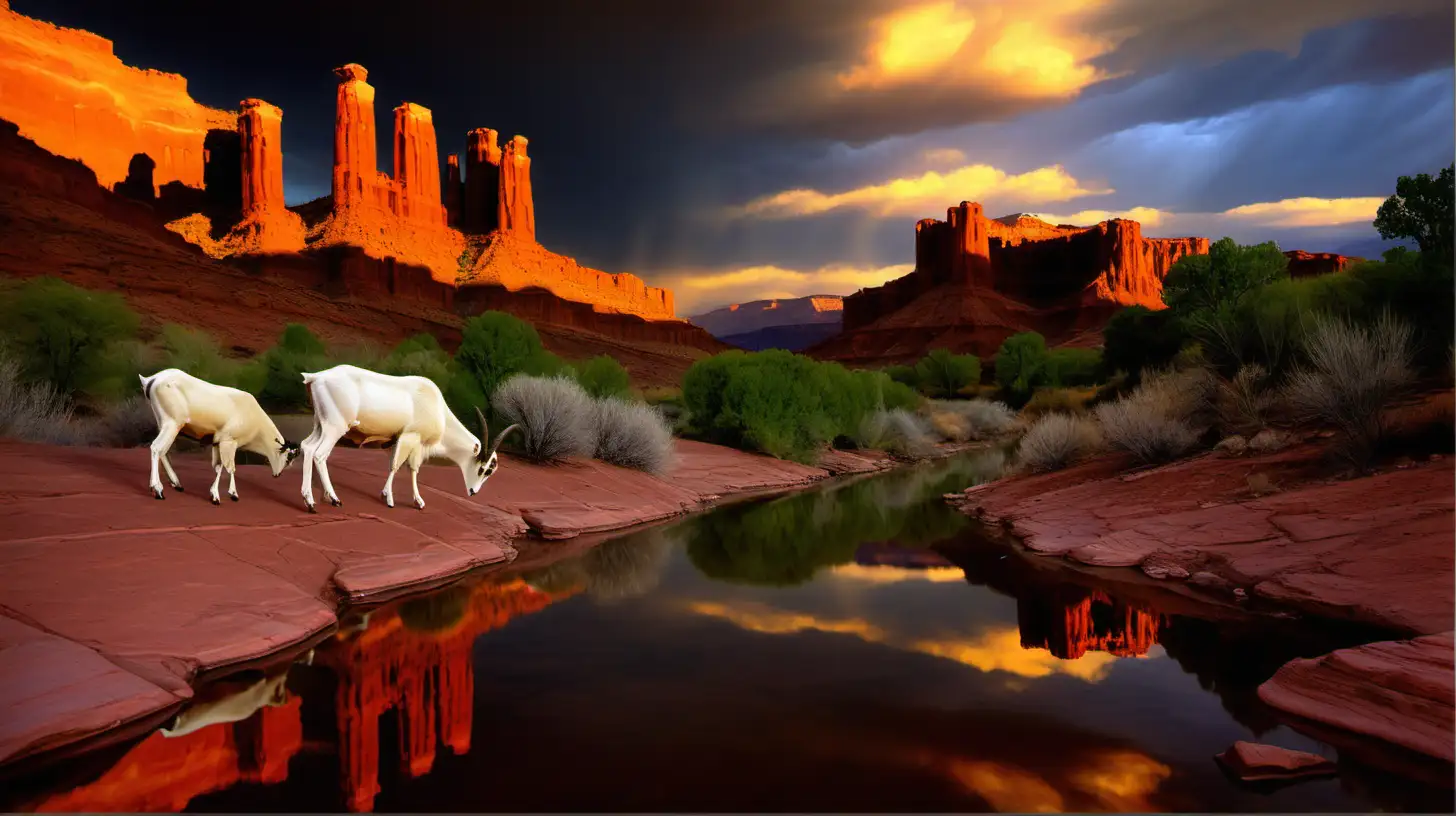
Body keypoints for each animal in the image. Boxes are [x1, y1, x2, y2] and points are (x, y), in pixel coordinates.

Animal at [139, 370, 298, 504]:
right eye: (288, 458)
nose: (277, 474)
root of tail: (151, 379)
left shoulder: (217, 442)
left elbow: (218, 466)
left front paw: (220, 493)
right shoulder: (228, 441)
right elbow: (229, 467)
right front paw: (225, 495)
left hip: (164, 424)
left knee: (163, 451)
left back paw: (176, 483)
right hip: (172, 424)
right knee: (156, 448)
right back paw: (158, 489)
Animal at [298, 367, 521, 512]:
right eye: (484, 469)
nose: (473, 492)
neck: (438, 408)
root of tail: (316, 377)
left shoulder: (407, 443)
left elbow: (412, 469)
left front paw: (416, 501)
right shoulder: (409, 437)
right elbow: (396, 466)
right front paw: (390, 499)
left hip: (321, 425)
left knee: (307, 447)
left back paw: (311, 501)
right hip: (335, 428)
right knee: (320, 454)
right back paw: (333, 499)